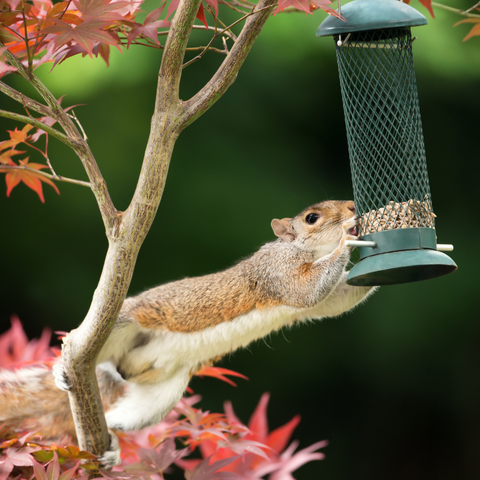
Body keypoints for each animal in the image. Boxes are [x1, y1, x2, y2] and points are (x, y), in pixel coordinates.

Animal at [0, 199, 376, 464]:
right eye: (312, 217)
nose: (352, 207)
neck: (301, 249)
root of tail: (117, 369)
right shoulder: (276, 272)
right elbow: (307, 290)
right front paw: (348, 238)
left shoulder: (318, 302)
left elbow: (335, 300)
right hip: (121, 325)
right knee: (78, 343)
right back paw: (63, 366)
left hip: (161, 395)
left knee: (118, 418)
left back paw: (112, 446)